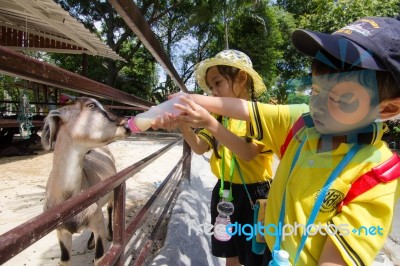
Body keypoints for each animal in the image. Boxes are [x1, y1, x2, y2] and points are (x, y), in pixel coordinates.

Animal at [40, 96, 129, 264]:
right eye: (91, 105)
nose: (125, 121)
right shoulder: (62, 232)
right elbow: (65, 260)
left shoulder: (98, 225)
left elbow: (100, 258)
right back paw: (90, 242)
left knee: (109, 208)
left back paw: (109, 234)